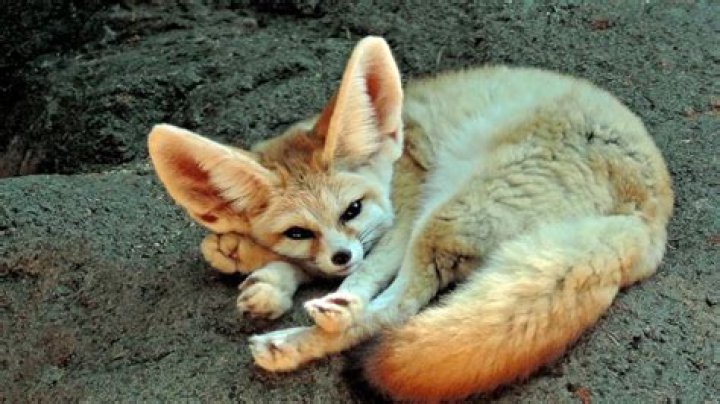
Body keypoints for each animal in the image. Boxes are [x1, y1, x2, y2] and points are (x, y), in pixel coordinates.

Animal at [147, 36, 673, 401]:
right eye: (298, 230)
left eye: (352, 209)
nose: (340, 256)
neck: (393, 154)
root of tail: (649, 216)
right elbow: (300, 260)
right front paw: (256, 263)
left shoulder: (404, 209)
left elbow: (365, 273)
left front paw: (303, 283)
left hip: (442, 213)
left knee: (397, 308)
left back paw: (305, 333)